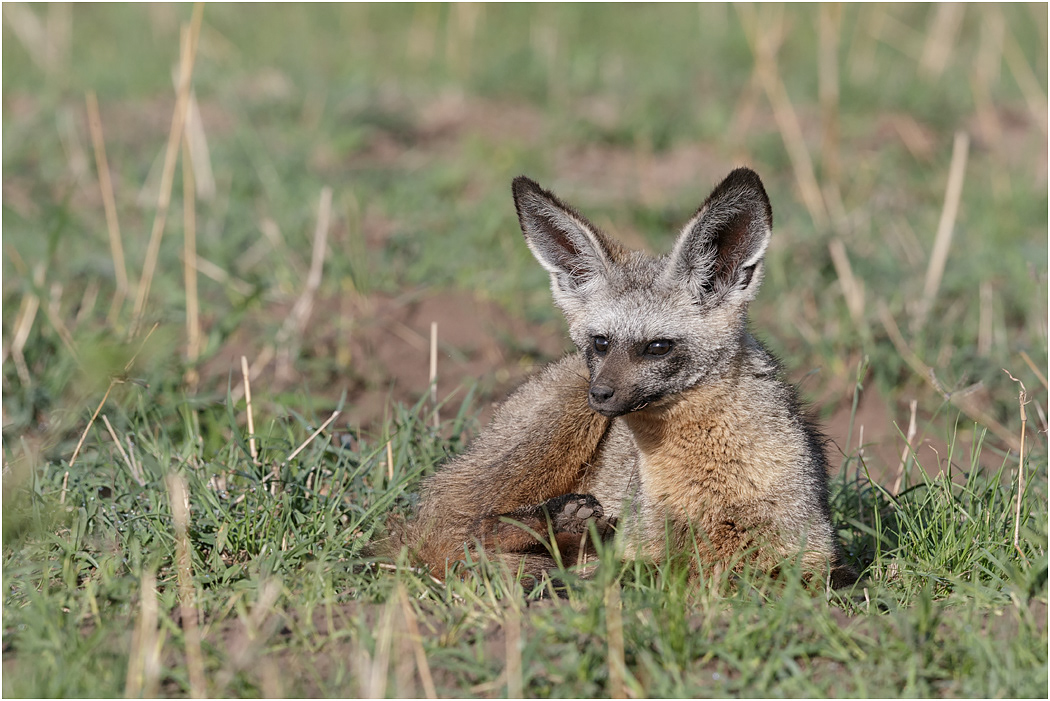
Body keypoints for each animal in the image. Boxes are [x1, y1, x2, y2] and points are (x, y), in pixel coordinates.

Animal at [394, 167, 857, 589]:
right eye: (601, 343)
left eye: (658, 347)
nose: (599, 395)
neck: (711, 488)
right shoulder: (641, 553)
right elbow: (638, 577)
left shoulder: (814, 559)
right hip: (548, 435)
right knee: (445, 527)